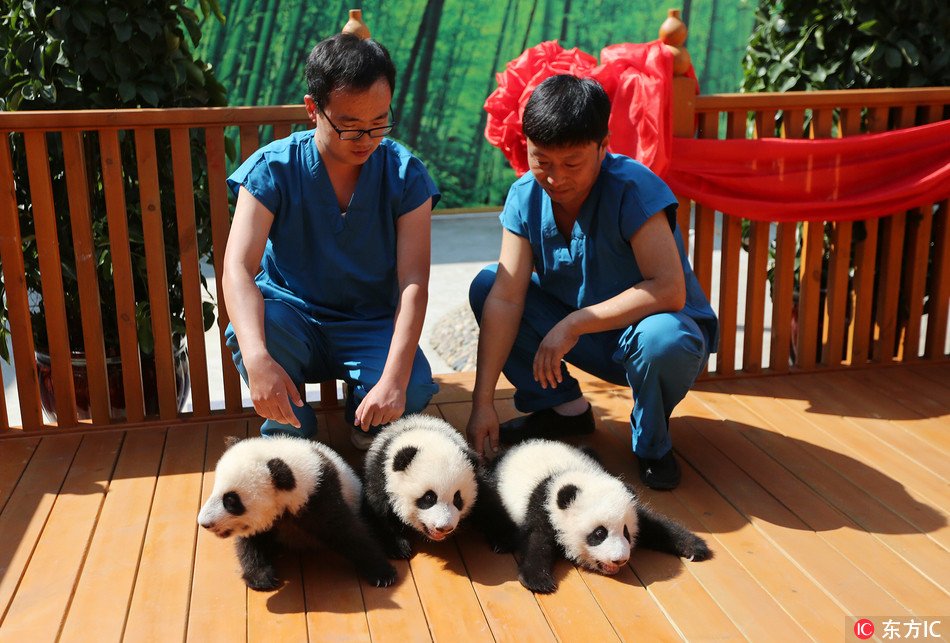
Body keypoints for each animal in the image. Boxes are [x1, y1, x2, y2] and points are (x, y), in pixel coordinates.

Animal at [197, 436, 396, 591]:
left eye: (231, 500)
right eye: (214, 489)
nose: (204, 523)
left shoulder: (319, 494)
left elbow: (347, 531)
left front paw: (383, 574)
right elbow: (251, 542)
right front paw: (261, 577)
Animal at [362, 414, 481, 559]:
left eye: (457, 499)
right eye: (429, 497)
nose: (444, 528)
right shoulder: (380, 475)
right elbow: (379, 511)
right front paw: (399, 547)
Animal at [479, 439, 712, 594]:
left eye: (626, 533)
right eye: (599, 533)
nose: (620, 559)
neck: (571, 474)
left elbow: (656, 526)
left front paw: (694, 547)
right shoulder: (542, 505)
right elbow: (537, 540)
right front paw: (538, 579)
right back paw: (502, 542)